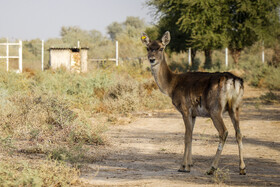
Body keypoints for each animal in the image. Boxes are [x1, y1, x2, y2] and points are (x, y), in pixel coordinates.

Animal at [141, 31, 246, 175]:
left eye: (161, 48)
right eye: (148, 48)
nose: (152, 59)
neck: (171, 86)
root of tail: (234, 81)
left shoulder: (185, 109)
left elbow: (187, 135)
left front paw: (183, 166)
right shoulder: (194, 113)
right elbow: (191, 134)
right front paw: (190, 163)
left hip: (215, 109)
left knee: (224, 131)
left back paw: (211, 168)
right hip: (235, 107)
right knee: (239, 132)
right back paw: (242, 168)